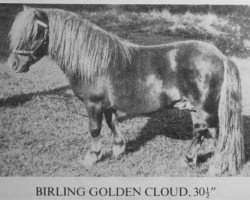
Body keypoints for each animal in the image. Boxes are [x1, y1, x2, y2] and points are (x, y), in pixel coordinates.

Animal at [8, 6, 244, 175]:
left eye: (34, 34)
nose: (13, 65)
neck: (94, 62)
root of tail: (221, 57)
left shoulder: (93, 104)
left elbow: (95, 129)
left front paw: (92, 157)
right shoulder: (108, 105)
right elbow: (113, 123)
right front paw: (118, 150)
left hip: (206, 109)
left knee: (217, 134)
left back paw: (216, 168)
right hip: (195, 109)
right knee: (200, 132)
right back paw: (188, 160)